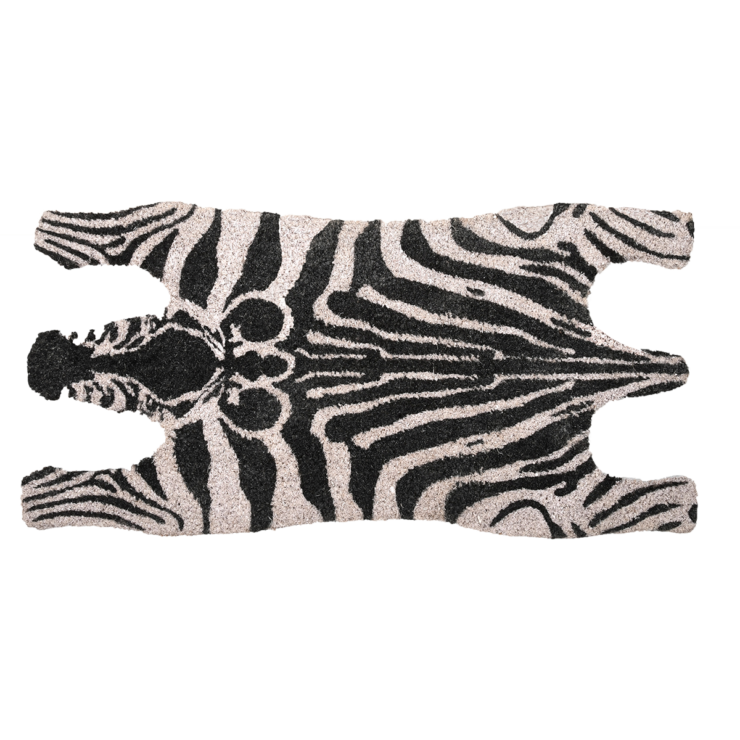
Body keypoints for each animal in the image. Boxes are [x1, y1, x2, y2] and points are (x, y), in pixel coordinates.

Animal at [21, 200, 699, 538]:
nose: (42, 361)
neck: (213, 362)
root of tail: (604, 357)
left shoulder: (181, 500)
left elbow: (103, 499)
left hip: (554, 504)